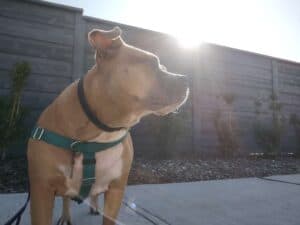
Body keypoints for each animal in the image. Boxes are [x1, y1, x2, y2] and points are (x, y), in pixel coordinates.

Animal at [27, 26, 189, 225]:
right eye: (153, 64)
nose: (186, 78)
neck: (101, 131)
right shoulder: (41, 189)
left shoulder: (116, 189)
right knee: (66, 198)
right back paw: (66, 217)